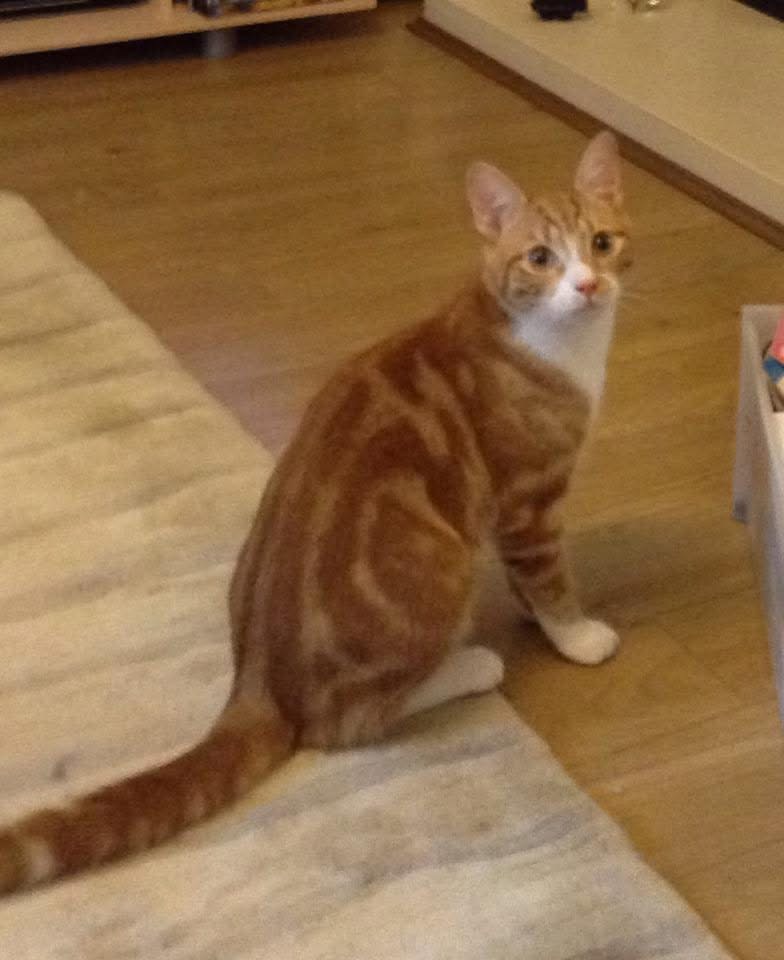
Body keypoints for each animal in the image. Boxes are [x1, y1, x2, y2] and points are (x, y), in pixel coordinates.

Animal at [0, 130, 631, 895]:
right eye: (540, 258)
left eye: (601, 242)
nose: (588, 284)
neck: (551, 343)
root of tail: (259, 678)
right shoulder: (528, 497)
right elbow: (550, 579)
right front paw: (576, 634)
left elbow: (529, 582)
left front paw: (538, 618)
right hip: (439, 565)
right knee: (346, 723)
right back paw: (470, 667)